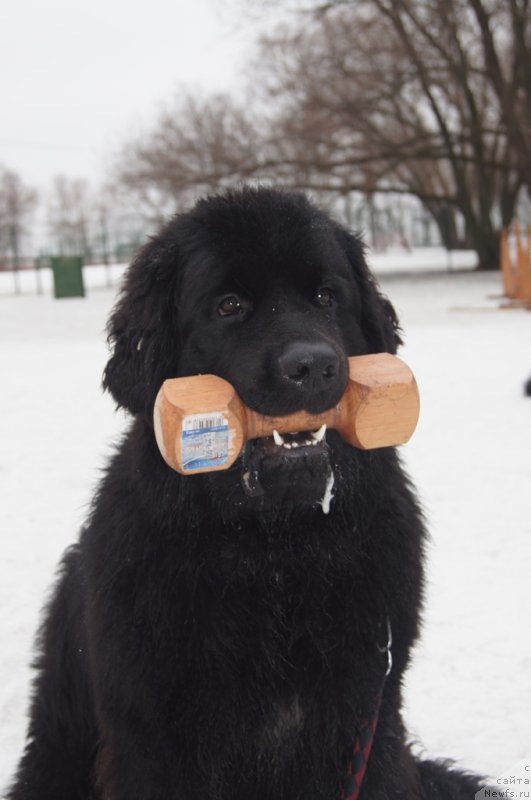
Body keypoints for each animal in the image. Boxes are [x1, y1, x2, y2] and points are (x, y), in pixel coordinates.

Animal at [7, 189, 482, 800]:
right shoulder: (151, 739)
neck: (274, 554)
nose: (314, 365)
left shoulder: (370, 719)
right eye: (229, 306)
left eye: (326, 297)